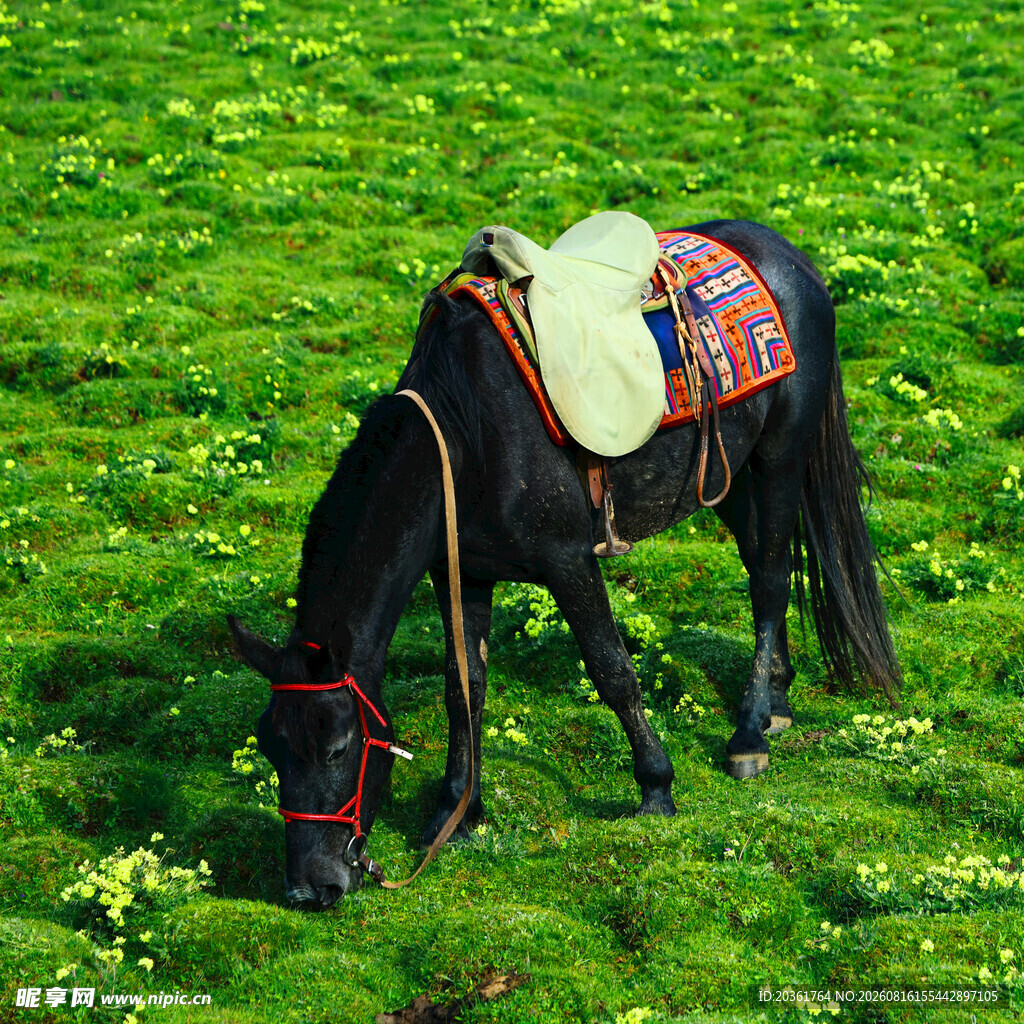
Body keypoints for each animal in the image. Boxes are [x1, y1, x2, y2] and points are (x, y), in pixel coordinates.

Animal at [228, 218, 901, 909]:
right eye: (272, 746)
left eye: (337, 748)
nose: (310, 889)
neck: (467, 429)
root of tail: (789, 256)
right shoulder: (463, 572)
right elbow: (463, 686)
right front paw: (455, 815)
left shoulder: (569, 560)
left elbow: (612, 671)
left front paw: (656, 787)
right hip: (730, 477)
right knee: (768, 563)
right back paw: (778, 702)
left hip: (779, 459)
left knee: (768, 582)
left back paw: (748, 735)